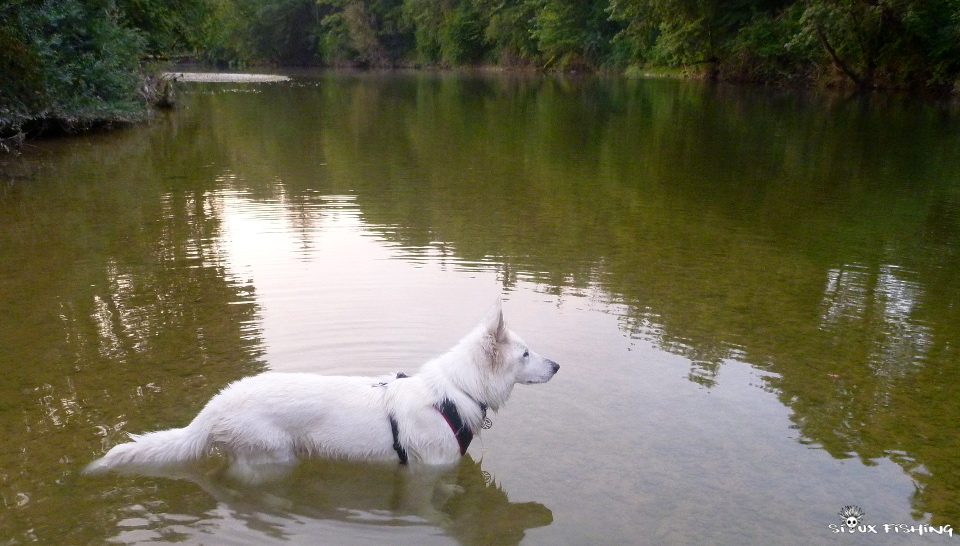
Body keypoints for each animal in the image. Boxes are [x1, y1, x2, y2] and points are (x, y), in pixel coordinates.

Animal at [86, 300, 560, 478]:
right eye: (525, 354)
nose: (557, 365)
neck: (456, 391)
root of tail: (215, 406)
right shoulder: (429, 474)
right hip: (274, 458)